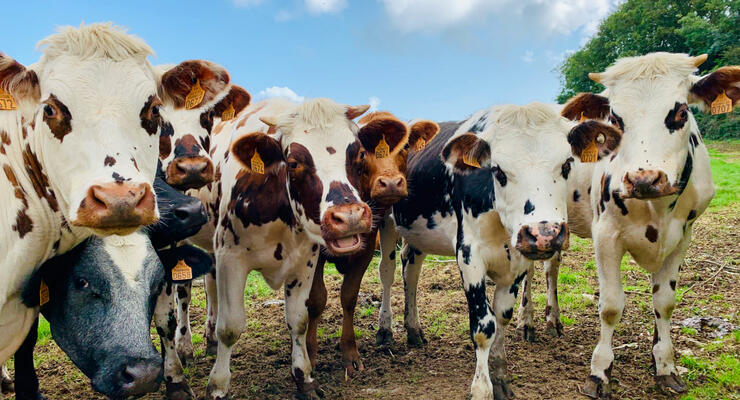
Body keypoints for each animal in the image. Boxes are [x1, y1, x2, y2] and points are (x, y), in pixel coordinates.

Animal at [6, 171, 210, 400]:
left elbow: (166, 323)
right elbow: (26, 340)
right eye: (82, 281)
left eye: (157, 283)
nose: (144, 375)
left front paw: (175, 380)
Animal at [187, 97, 374, 399]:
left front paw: (305, 378)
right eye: (294, 162)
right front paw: (218, 386)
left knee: (210, 288)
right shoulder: (230, 258)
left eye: (359, 156)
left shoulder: (305, 261)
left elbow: (299, 319)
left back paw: (210, 340)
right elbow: (230, 327)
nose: (350, 217)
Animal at [305, 112, 440, 376]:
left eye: (405, 147)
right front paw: (310, 355)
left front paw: (350, 354)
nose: (391, 183)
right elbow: (316, 299)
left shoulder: (367, 246)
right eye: (361, 152)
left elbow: (349, 296)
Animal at [377, 103, 580, 399]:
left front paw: (500, 378)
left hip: (417, 233)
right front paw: (481, 388)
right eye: (498, 171)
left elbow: (502, 318)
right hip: (384, 220)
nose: (544, 234)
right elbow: (484, 326)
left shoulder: (517, 263)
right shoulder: (469, 255)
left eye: (566, 164)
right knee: (387, 272)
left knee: (411, 270)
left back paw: (413, 330)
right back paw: (385, 330)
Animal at [530, 53, 735, 398]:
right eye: (614, 117)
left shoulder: (682, 237)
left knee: (551, 269)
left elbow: (664, 302)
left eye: (681, 112)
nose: (644, 179)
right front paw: (600, 372)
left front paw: (664, 365)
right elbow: (611, 306)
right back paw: (526, 323)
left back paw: (553, 320)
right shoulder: (605, 235)